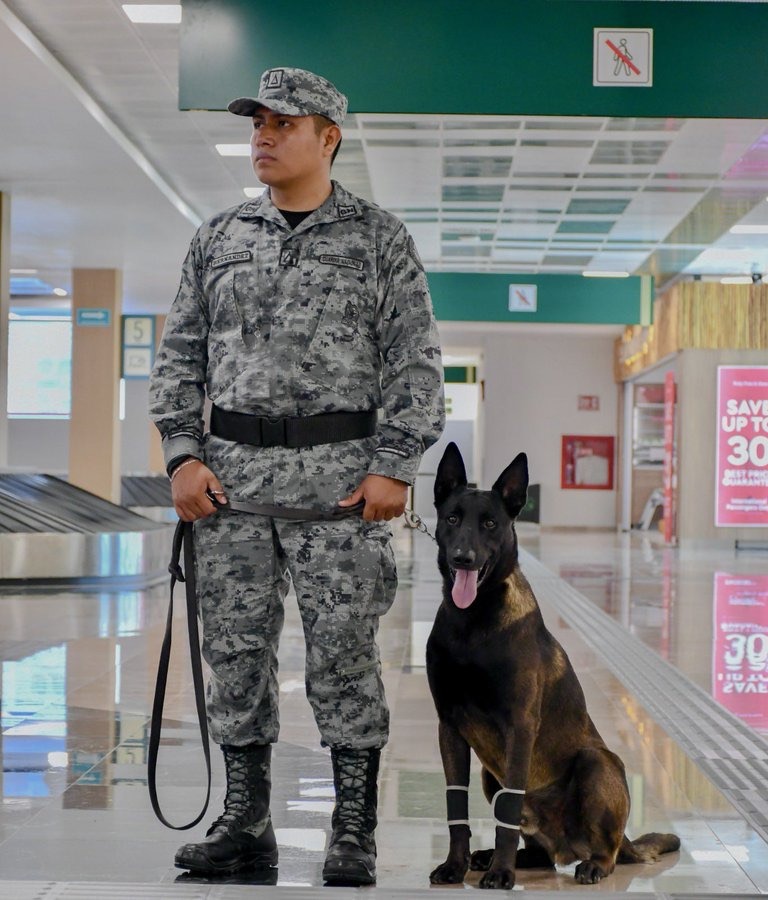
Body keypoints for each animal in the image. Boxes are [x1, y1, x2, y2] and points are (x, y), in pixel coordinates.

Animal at [426, 443, 680, 890]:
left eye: (490, 523)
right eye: (452, 518)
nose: (464, 558)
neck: (472, 622)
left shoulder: (519, 727)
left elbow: (508, 814)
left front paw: (501, 874)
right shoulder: (449, 727)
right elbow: (456, 804)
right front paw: (456, 865)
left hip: (597, 764)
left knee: (608, 848)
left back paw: (590, 864)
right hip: (490, 775)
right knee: (540, 853)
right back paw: (490, 858)